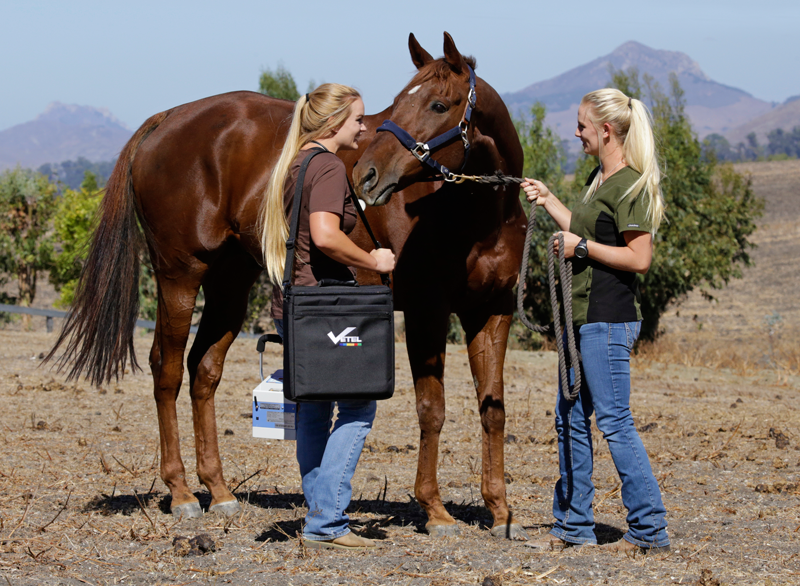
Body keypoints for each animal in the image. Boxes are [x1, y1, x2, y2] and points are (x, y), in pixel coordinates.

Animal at [48, 33, 524, 540]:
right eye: (397, 103)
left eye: (438, 104)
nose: (367, 176)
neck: (477, 215)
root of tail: (168, 119)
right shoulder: (425, 312)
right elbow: (431, 409)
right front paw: (434, 510)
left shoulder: (492, 312)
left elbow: (493, 408)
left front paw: (500, 511)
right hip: (180, 275)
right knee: (167, 368)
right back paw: (180, 493)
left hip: (230, 281)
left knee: (203, 370)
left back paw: (218, 491)